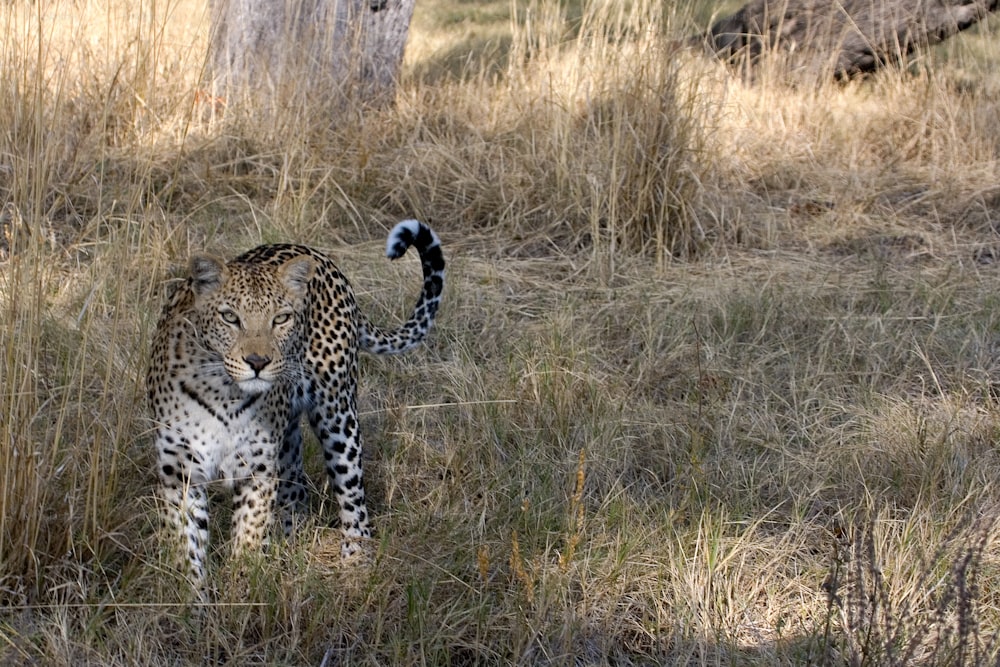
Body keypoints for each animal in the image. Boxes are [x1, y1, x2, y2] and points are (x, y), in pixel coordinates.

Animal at [146, 222, 444, 592]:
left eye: (281, 318)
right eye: (230, 317)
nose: (257, 362)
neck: (223, 392)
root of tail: (320, 257)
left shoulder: (257, 470)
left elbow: (248, 536)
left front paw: (243, 589)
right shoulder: (180, 473)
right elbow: (187, 549)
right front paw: (195, 600)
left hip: (338, 416)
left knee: (353, 498)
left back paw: (355, 563)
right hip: (287, 440)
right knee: (296, 488)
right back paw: (288, 547)